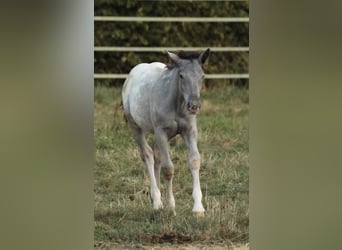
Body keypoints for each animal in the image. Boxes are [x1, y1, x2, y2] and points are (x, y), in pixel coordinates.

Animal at [121, 48, 210, 215]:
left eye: (202, 76)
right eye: (181, 75)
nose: (194, 106)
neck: (177, 104)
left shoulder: (189, 131)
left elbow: (195, 160)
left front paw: (198, 208)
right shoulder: (161, 132)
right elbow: (168, 169)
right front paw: (171, 207)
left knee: (156, 156)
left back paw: (156, 199)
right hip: (136, 127)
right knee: (148, 155)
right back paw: (156, 201)